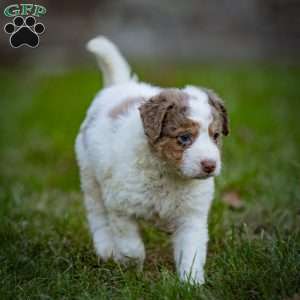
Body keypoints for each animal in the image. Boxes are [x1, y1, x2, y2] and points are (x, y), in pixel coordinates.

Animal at [75, 35, 230, 284]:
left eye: (215, 135)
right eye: (184, 138)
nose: (209, 165)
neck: (168, 173)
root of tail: (119, 86)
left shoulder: (192, 216)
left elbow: (192, 252)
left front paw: (191, 284)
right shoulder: (121, 207)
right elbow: (131, 247)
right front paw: (130, 267)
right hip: (89, 175)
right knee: (97, 214)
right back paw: (106, 249)